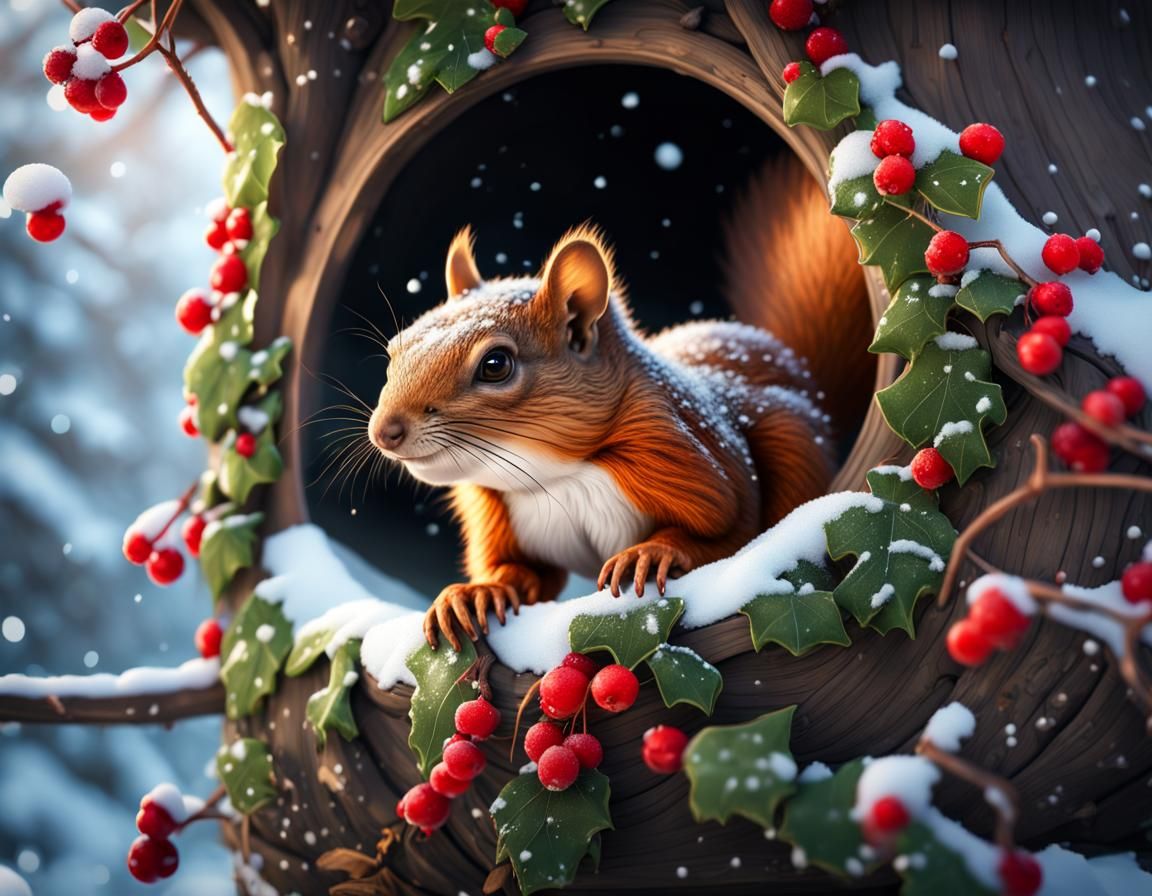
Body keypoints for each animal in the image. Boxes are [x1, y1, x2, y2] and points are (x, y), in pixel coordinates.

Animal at [367, 156, 872, 651]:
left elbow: (733, 530)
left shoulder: (697, 458)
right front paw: (475, 593)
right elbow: (524, 574)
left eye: (495, 365)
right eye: (394, 350)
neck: (557, 477)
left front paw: (652, 553)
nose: (384, 431)